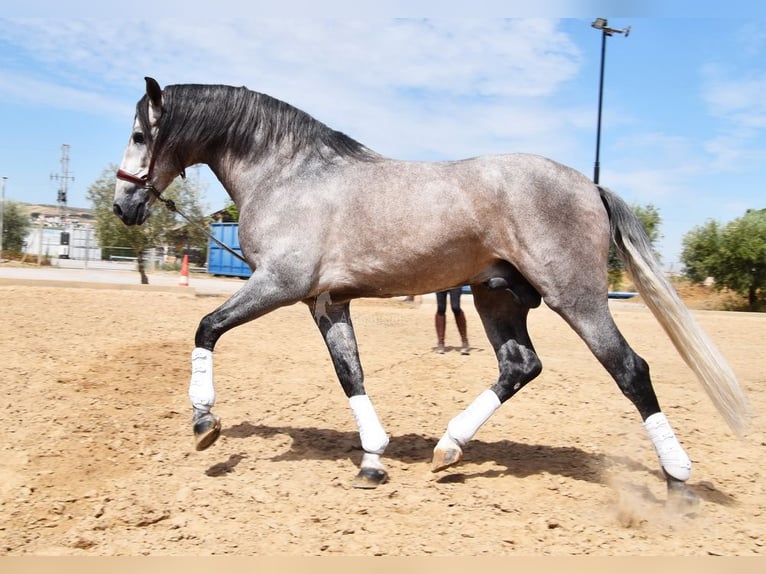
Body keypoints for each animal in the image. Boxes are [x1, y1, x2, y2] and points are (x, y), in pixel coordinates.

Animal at [114, 75, 752, 508]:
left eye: (141, 133)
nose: (123, 206)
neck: (290, 174)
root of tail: (588, 185)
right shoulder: (327, 301)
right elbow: (350, 373)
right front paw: (373, 458)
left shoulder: (278, 284)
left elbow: (207, 328)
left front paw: (204, 423)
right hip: (498, 298)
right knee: (520, 365)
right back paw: (449, 446)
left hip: (576, 298)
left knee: (630, 370)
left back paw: (677, 478)